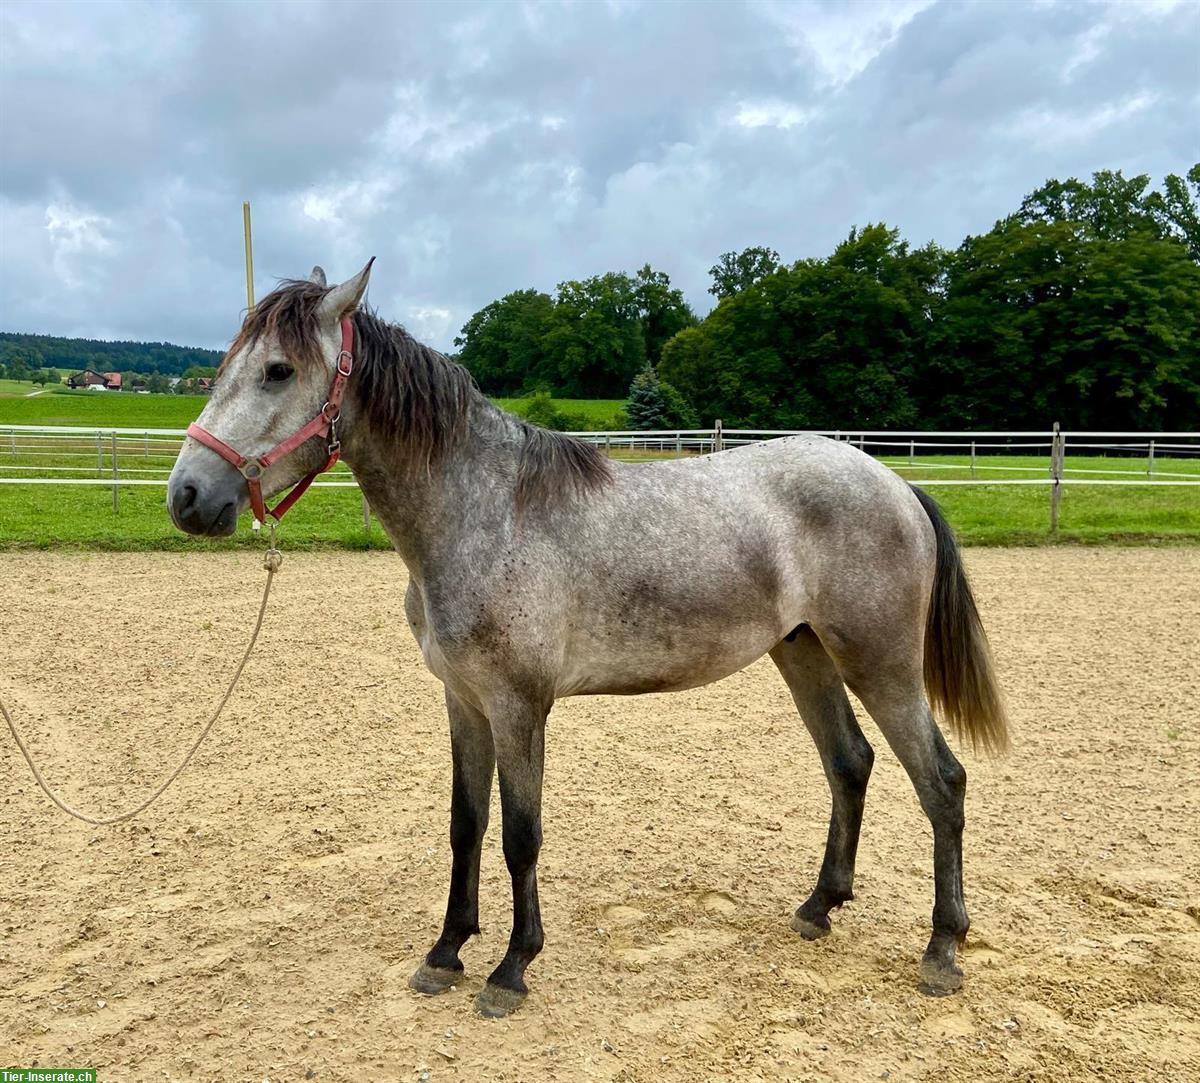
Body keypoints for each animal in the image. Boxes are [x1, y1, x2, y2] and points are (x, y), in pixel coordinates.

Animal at [169, 265, 1008, 1027]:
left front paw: (511, 967)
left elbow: (521, 834)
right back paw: (819, 906)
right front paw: (446, 951)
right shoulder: (464, 701)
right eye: (225, 365)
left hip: (881, 664)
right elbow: (465, 825)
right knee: (849, 763)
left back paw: (941, 948)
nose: (187, 496)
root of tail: (896, 484)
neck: (486, 510)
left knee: (942, 782)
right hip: (803, 653)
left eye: (278, 371)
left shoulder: (519, 705)